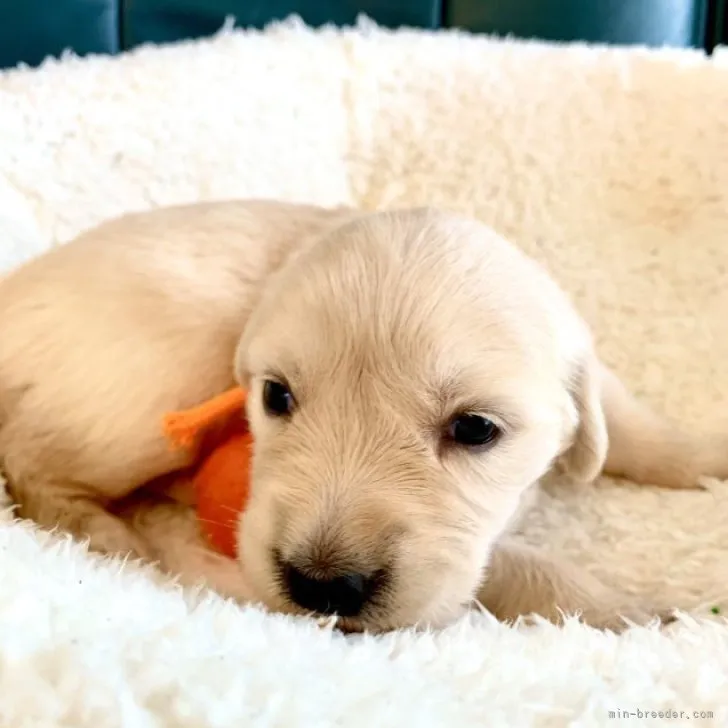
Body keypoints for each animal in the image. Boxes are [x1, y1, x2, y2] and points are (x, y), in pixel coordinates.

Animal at [0, 202, 724, 636]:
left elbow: (629, 422)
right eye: (277, 397)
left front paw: (702, 456)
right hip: (156, 379)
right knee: (33, 463)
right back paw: (124, 543)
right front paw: (640, 613)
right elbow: (517, 566)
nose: (322, 587)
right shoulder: (464, 555)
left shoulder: (584, 368)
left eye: (475, 429)